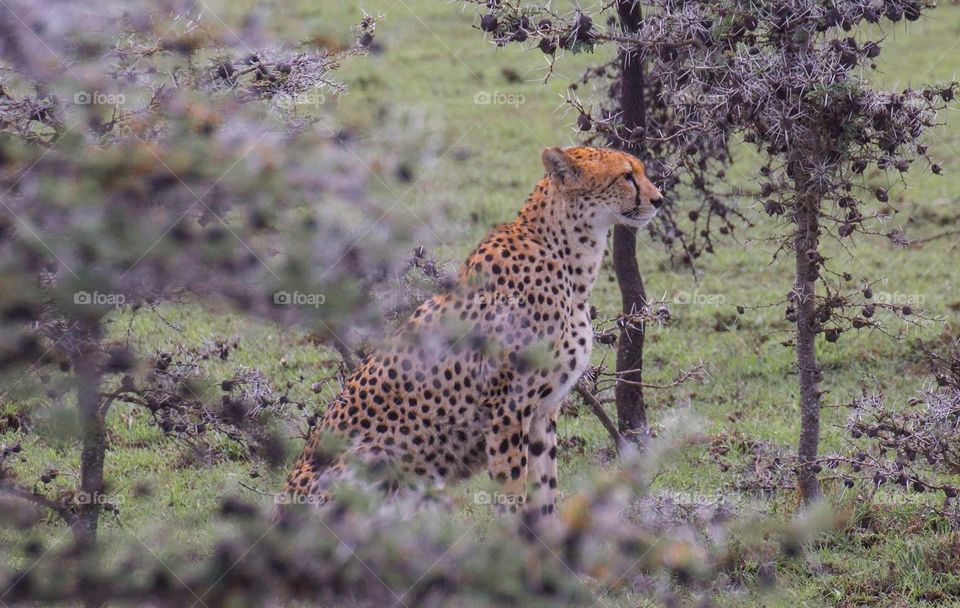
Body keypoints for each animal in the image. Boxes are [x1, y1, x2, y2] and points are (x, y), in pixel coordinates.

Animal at [283, 146, 663, 527]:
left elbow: (544, 491)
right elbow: (512, 493)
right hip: (373, 459)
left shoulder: (543, 411)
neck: (568, 257)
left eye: (641, 171)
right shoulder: (507, 409)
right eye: (627, 176)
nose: (659, 199)